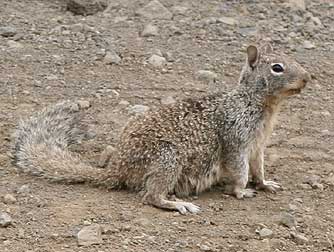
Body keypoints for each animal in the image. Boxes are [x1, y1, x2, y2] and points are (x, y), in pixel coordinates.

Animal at [12, 44, 310, 214]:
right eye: (277, 68)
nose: (308, 77)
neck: (262, 106)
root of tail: (117, 169)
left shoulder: (258, 146)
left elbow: (258, 169)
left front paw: (265, 184)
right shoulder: (235, 140)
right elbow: (239, 171)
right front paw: (241, 191)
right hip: (168, 159)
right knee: (151, 196)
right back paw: (178, 204)